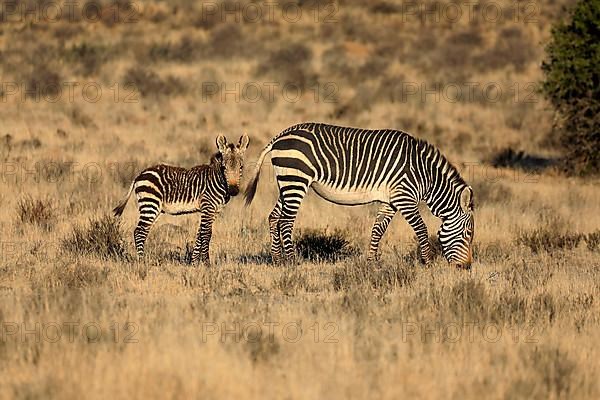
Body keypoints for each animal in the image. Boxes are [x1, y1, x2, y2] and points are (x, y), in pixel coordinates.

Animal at [112, 134, 248, 266]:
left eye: (241, 167)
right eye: (224, 167)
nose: (233, 191)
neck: (217, 180)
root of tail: (139, 175)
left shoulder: (214, 210)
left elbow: (200, 233)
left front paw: (194, 263)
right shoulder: (208, 207)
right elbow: (206, 234)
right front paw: (207, 263)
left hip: (154, 207)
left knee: (143, 231)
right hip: (150, 204)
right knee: (139, 232)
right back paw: (141, 261)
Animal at [244, 122, 474, 268]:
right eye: (468, 234)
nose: (467, 267)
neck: (424, 175)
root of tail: (282, 134)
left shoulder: (390, 201)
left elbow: (378, 230)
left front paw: (372, 262)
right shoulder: (404, 198)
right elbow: (422, 229)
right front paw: (427, 263)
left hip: (287, 182)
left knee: (274, 217)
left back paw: (277, 259)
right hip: (295, 180)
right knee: (285, 221)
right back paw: (292, 262)